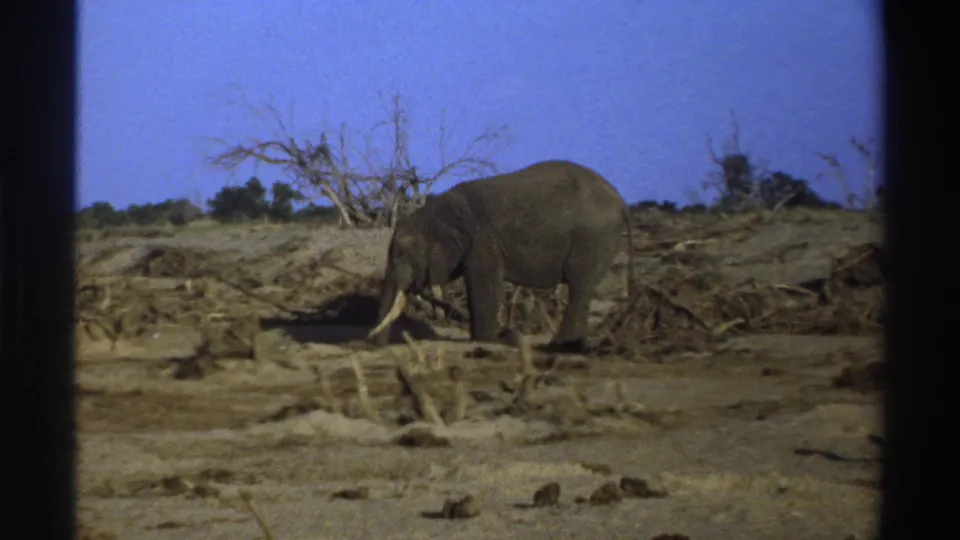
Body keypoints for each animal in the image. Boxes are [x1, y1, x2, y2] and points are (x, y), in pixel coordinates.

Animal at [368, 159, 635, 352]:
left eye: (402, 253)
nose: (373, 344)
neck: (437, 212)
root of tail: (622, 203)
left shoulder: (484, 242)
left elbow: (483, 283)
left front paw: (490, 339)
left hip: (593, 237)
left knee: (579, 286)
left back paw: (560, 346)